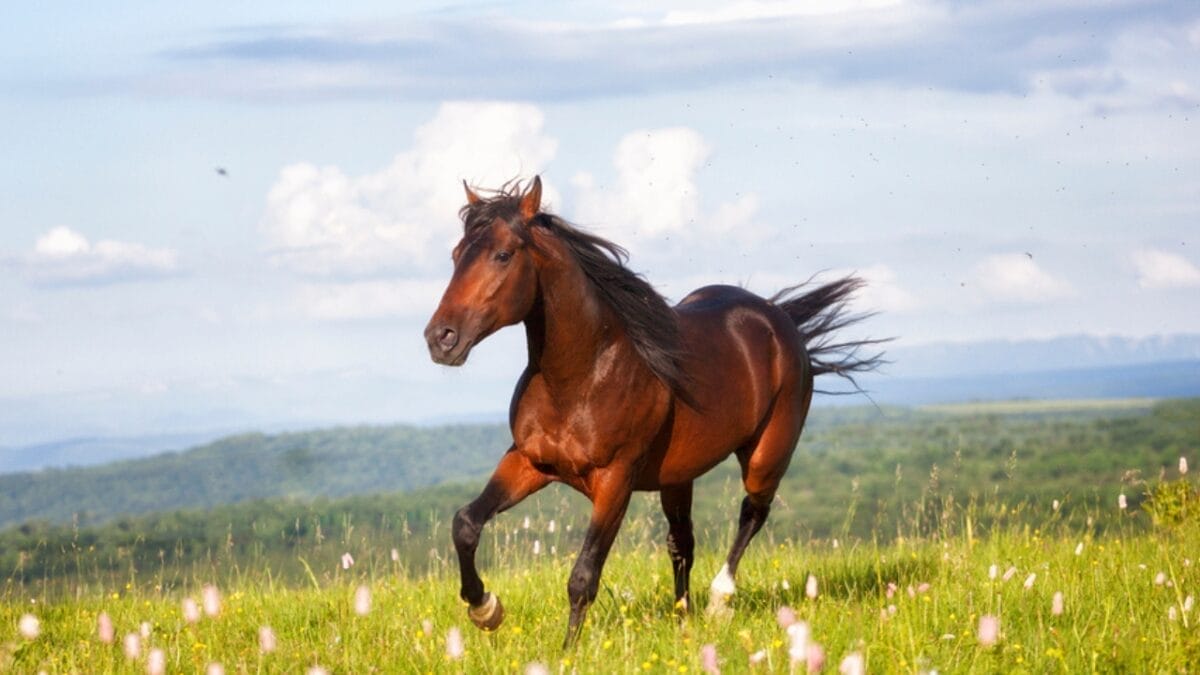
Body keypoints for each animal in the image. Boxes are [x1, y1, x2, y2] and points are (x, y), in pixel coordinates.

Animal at [424, 176, 883, 646]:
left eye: (502, 254)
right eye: (457, 255)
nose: (441, 338)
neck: (582, 376)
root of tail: (780, 320)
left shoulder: (615, 481)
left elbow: (583, 576)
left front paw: (567, 651)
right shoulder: (529, 462)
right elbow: (466, 523)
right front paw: (485, 609)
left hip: (766, 456)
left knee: (753, 512)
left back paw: (719, 601)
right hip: (678, 476)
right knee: (682, 542)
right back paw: (683, 619)